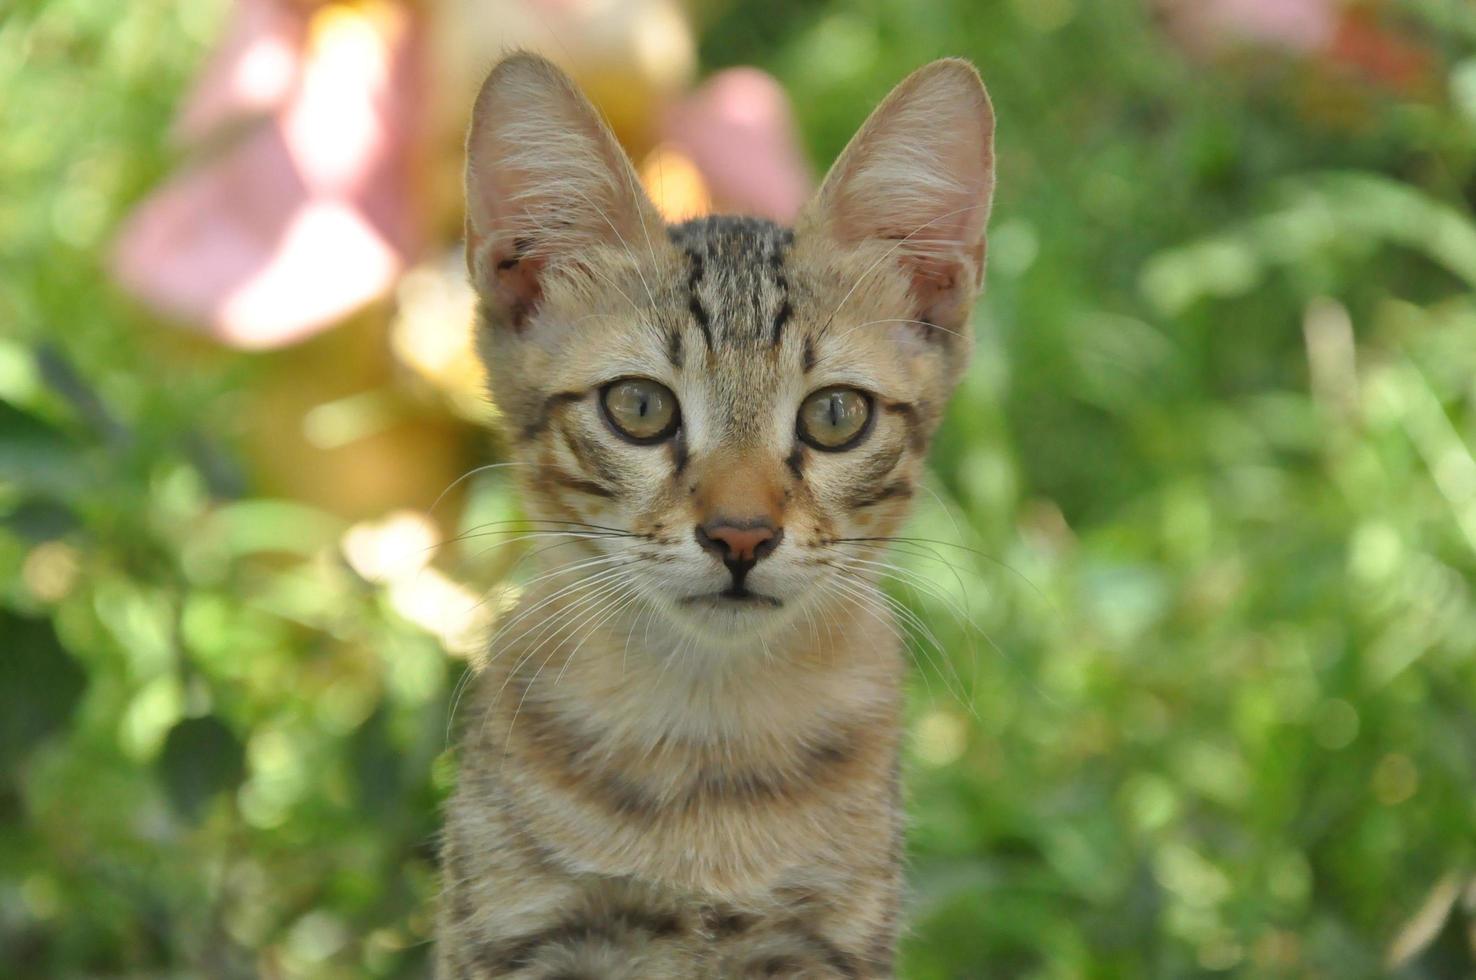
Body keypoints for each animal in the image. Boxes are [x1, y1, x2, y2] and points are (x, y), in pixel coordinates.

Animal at [433, 55, 991, 980]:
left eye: (835, 415)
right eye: (639, 408)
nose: (741, 535)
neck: (705, 740)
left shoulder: (826, 942)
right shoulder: (523, 933)